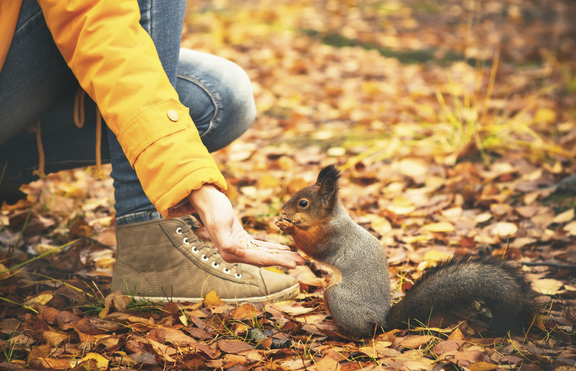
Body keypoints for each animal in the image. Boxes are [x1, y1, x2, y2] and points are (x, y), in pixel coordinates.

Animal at [274, 164, 536, 338]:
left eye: (303, 203)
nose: (283, 210)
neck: (331, 218)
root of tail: (382, 321)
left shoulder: (332, 237)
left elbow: (313, 247)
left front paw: (288, 226)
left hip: (338, 298)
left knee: (364, 332)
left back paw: (341, 333)